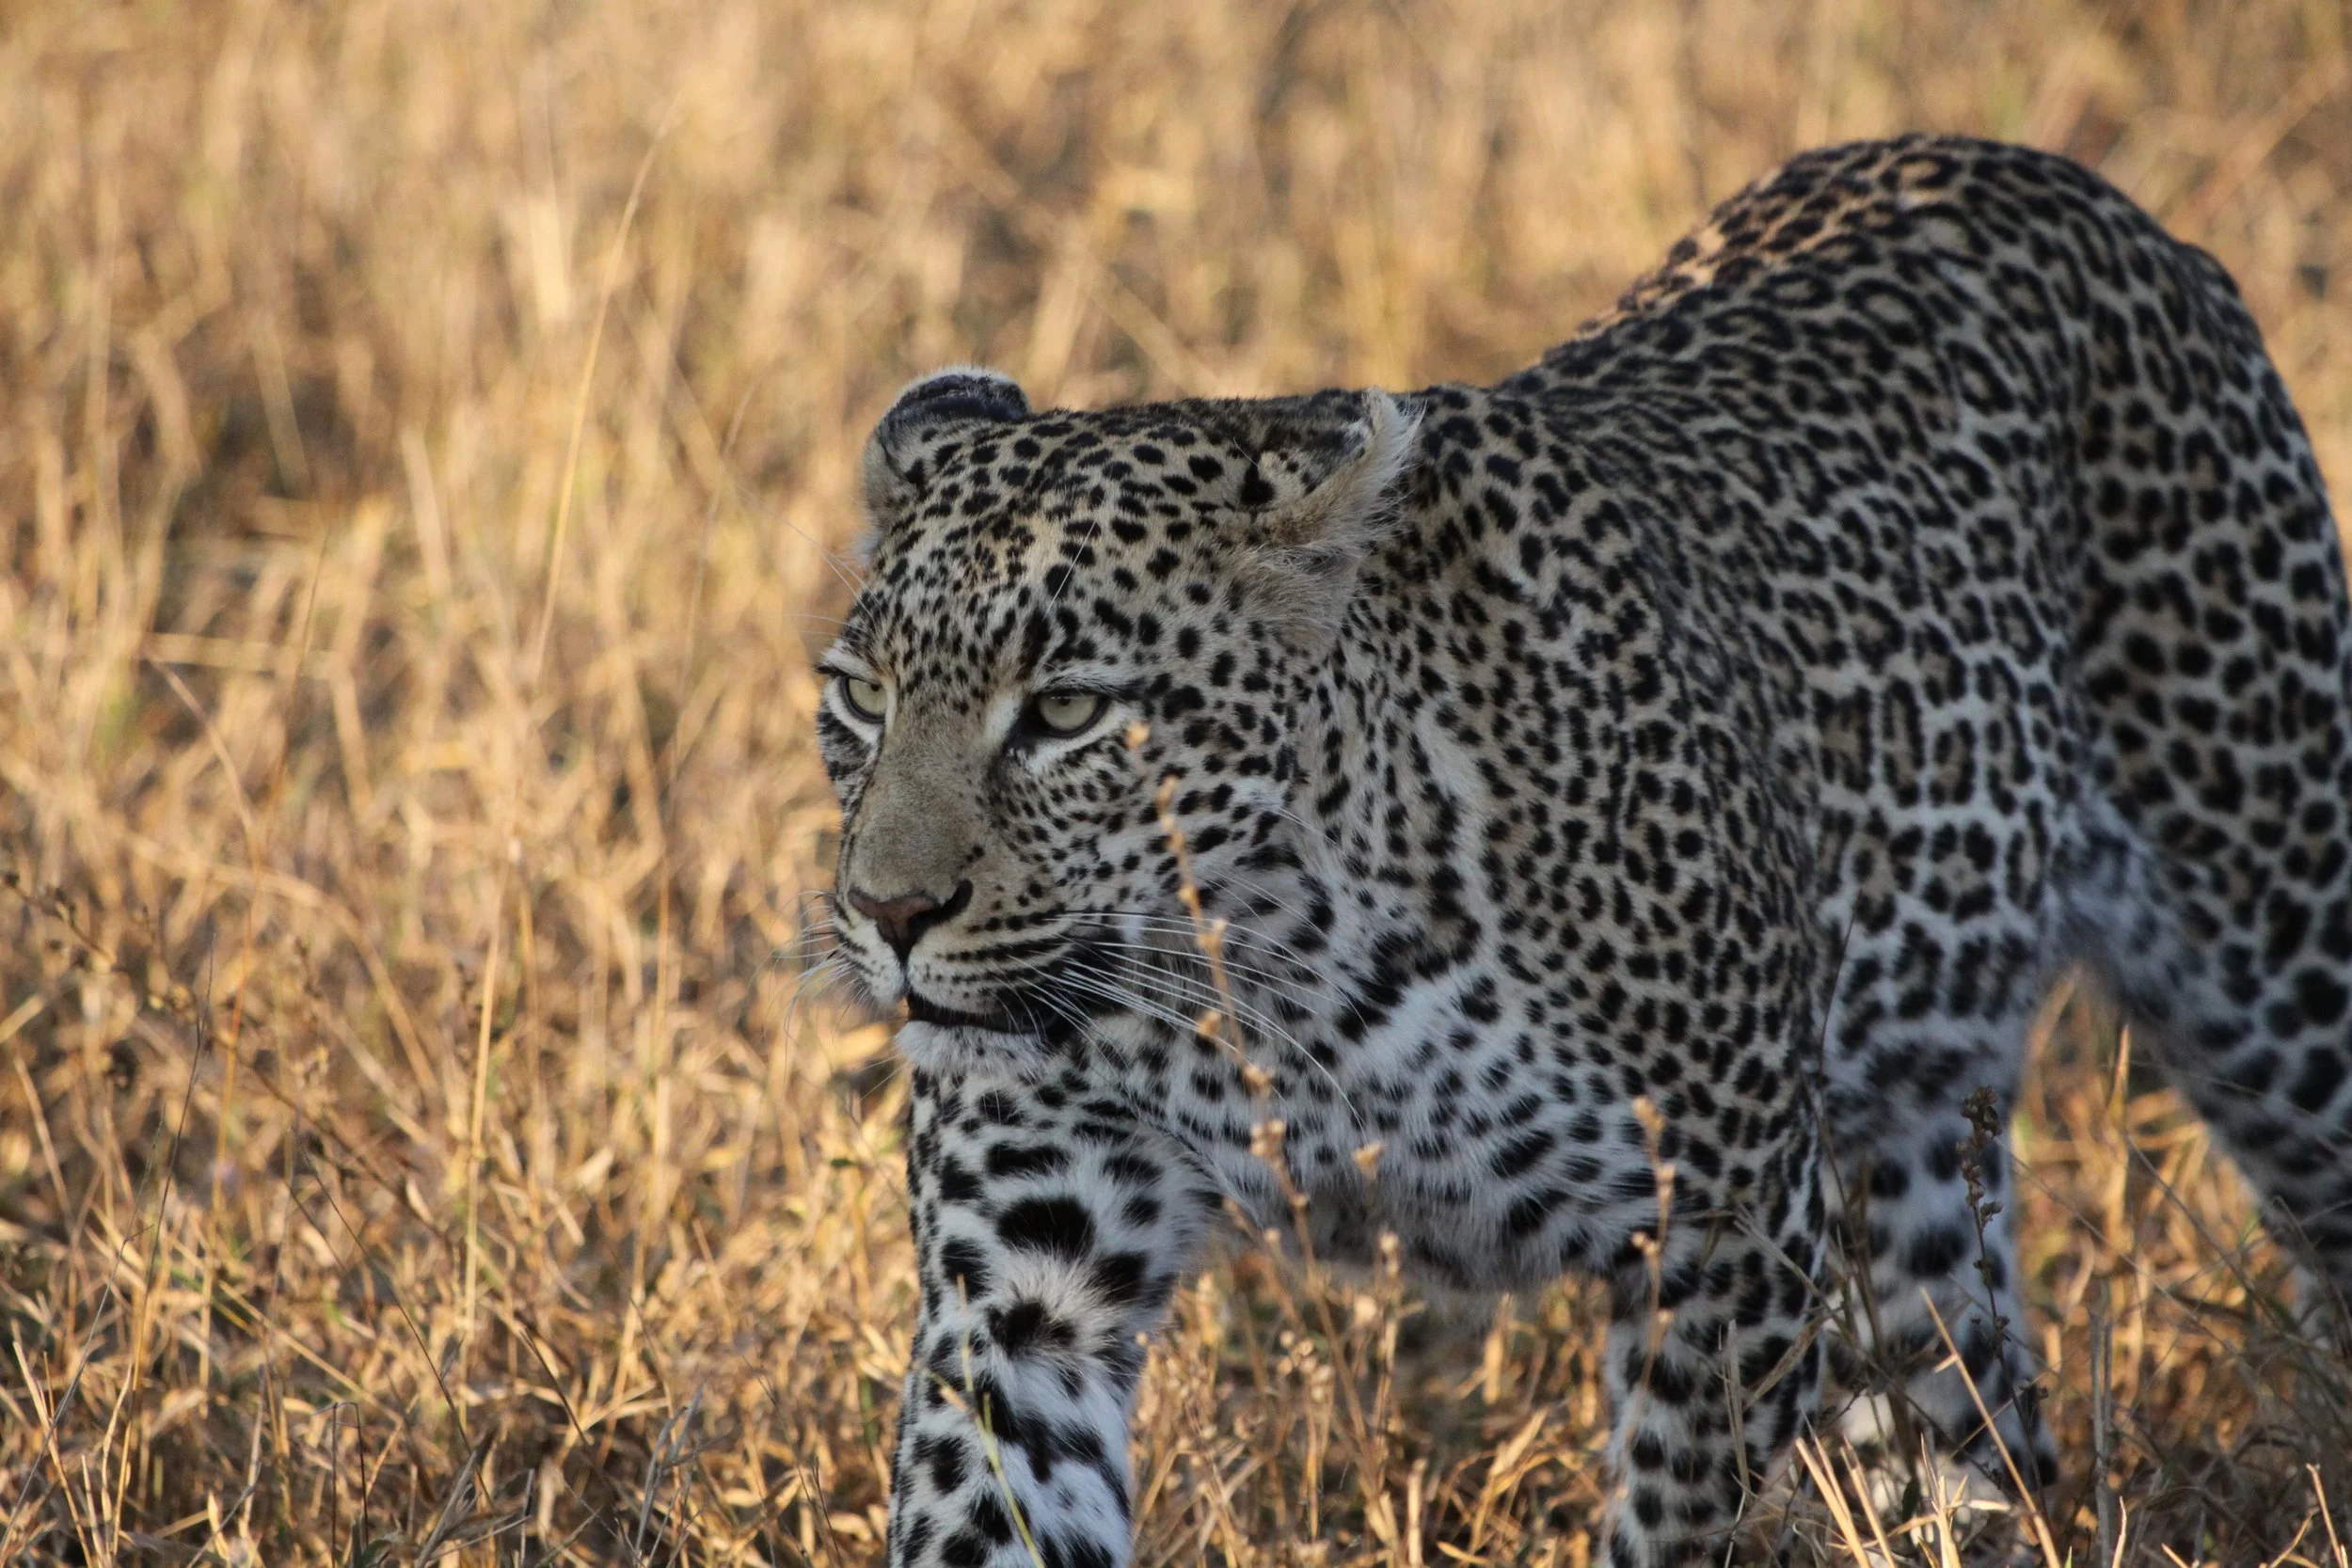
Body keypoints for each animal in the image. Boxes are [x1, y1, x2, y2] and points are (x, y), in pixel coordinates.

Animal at [811, 135, 2352, 1568]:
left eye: (1067, 710)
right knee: (1965, 1415)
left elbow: (1681, 1512)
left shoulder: (1730, 1230)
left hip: (2275, 945)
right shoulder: (1026, 1294)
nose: (890, 910)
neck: (1257, 978)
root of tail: (2030, 169)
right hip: (1906, 1152)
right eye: (861, 698)